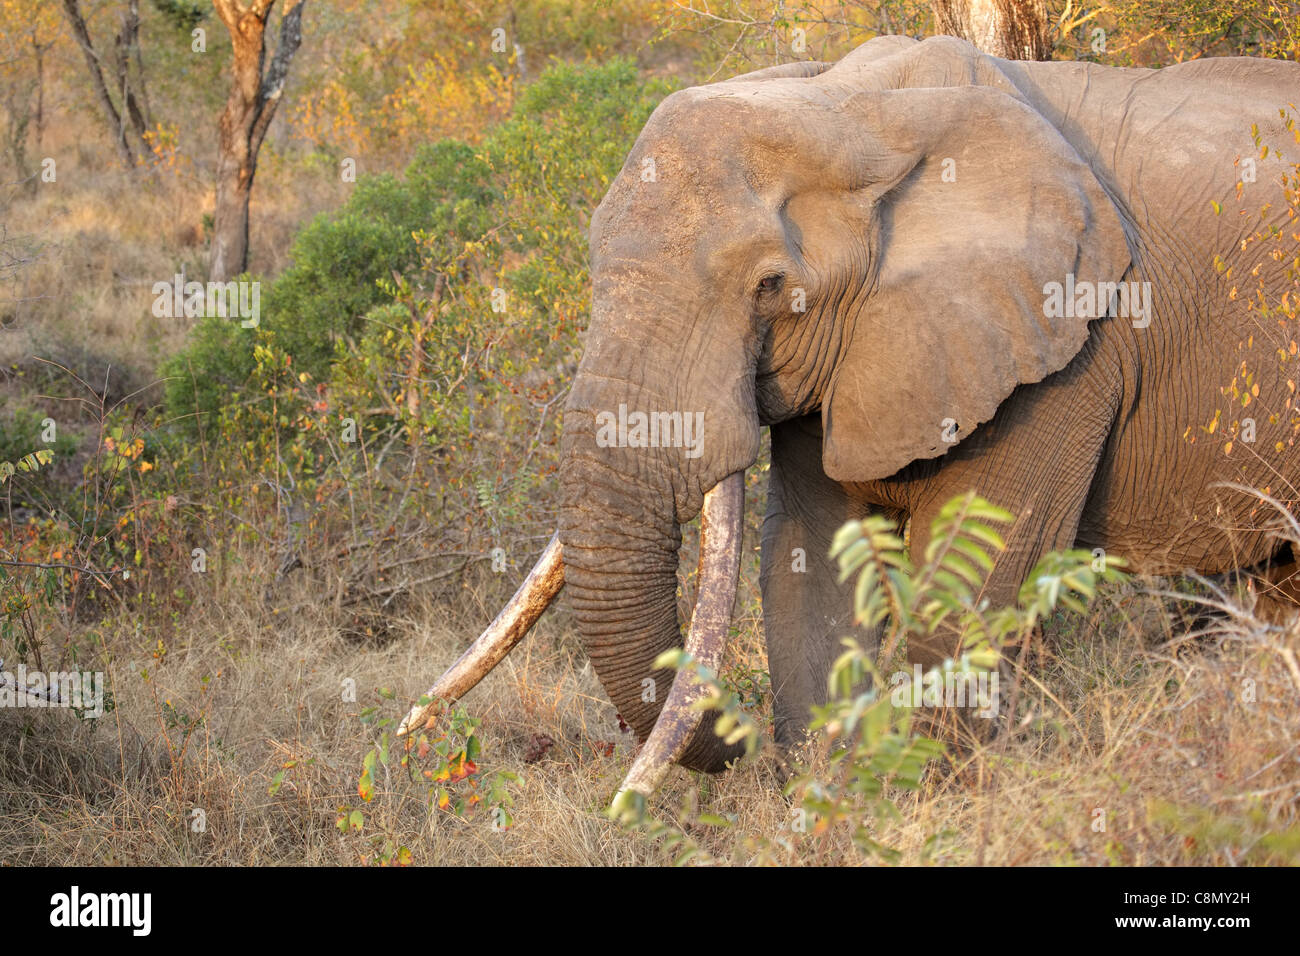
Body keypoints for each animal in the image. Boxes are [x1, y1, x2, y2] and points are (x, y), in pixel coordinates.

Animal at [397, 35, 1300, 801]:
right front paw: (826, 799)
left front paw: (934, 797)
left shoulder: (1070, 348)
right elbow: (809, 563)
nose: (741, 747)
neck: (852, 108)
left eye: (769, 287)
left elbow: (970, 576)